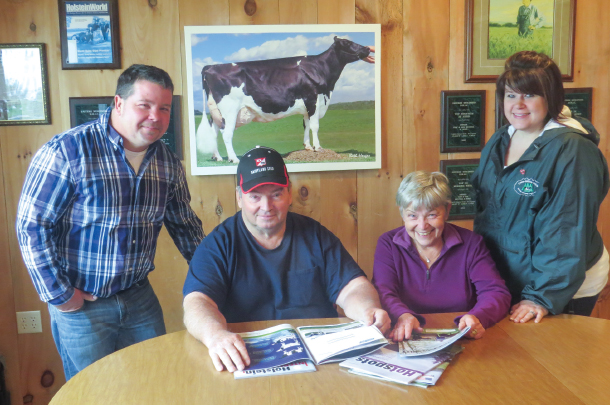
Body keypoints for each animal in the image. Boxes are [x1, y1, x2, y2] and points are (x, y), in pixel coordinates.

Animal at [197, 36, 372, 163]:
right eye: (348, 42)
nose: (368, 48)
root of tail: (210, 67)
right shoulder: (312, 98)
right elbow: (314, 126)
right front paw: (318, 147)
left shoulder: (308, 105)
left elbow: (306, 124)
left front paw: (308, 147)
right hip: (230, 110)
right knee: (226, 133)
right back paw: (233, 159)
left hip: (216, 111)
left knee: (214, 132)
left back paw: (218, 157)